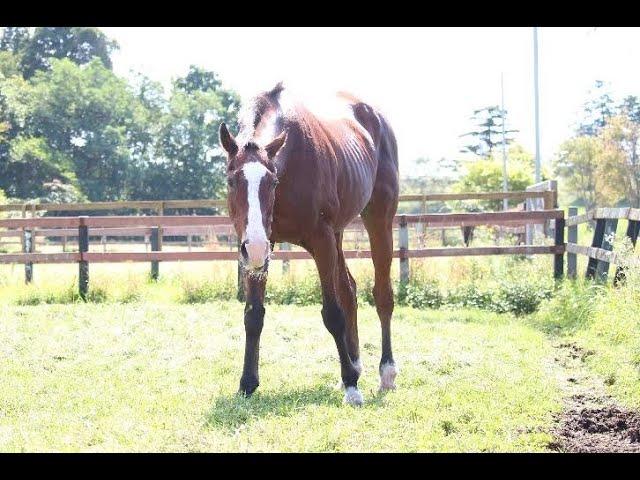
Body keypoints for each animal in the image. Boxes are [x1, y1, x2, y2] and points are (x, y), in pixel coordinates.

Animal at [221, 82, 400, 404]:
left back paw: (385, 373)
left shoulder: (321, 240)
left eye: (273, 182)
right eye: (231, 181)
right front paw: (247, 383)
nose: (254, 247)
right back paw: (355, 364)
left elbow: (332, 314)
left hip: (378, 219)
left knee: (382, 296)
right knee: (349, 290)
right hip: (338, 233)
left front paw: (352, 386)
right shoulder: (261, 247)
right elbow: (253, 316)